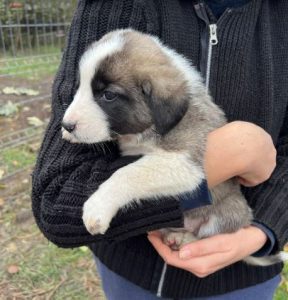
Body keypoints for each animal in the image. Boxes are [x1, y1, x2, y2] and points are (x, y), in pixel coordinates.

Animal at [62, 29, 286, 266]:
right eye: (80, 87)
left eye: (108, 95)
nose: (66, 125)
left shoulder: (184, 161)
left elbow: (128, 172)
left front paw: (98, 206)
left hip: (228, 211)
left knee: (207, 234)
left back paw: (184, 238)